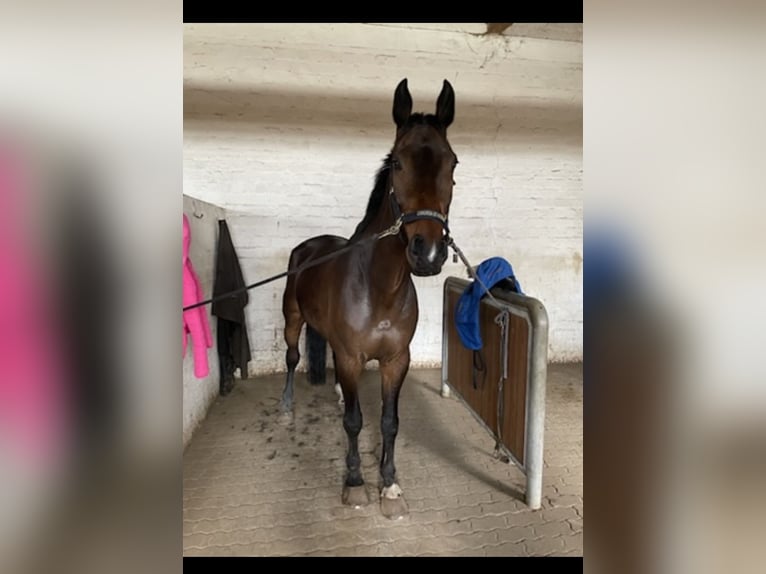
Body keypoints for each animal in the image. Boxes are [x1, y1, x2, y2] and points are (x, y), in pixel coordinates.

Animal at [284, 77, 460, 520]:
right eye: (397, 163)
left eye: (453, 164)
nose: (427, 253)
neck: (379, 287)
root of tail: (309, 246)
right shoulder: (351, 357)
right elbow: (354, 421)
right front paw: (354, 483)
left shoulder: (396, 360)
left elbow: (388, 422)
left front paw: (391, 486)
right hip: (292, 320)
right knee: (292, 358)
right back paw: (287, 406)